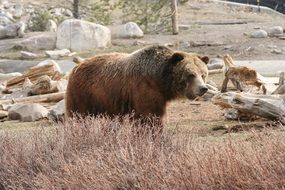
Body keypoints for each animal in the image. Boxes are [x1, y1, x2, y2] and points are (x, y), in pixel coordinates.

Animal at [65, 45, 209, 125]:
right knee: (78, 115)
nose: (203, 88)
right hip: (83, 94)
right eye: (190, 74)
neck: (160, 80)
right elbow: (148, 116)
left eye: (203, 74)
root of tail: (77, 66)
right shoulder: (144, 89)